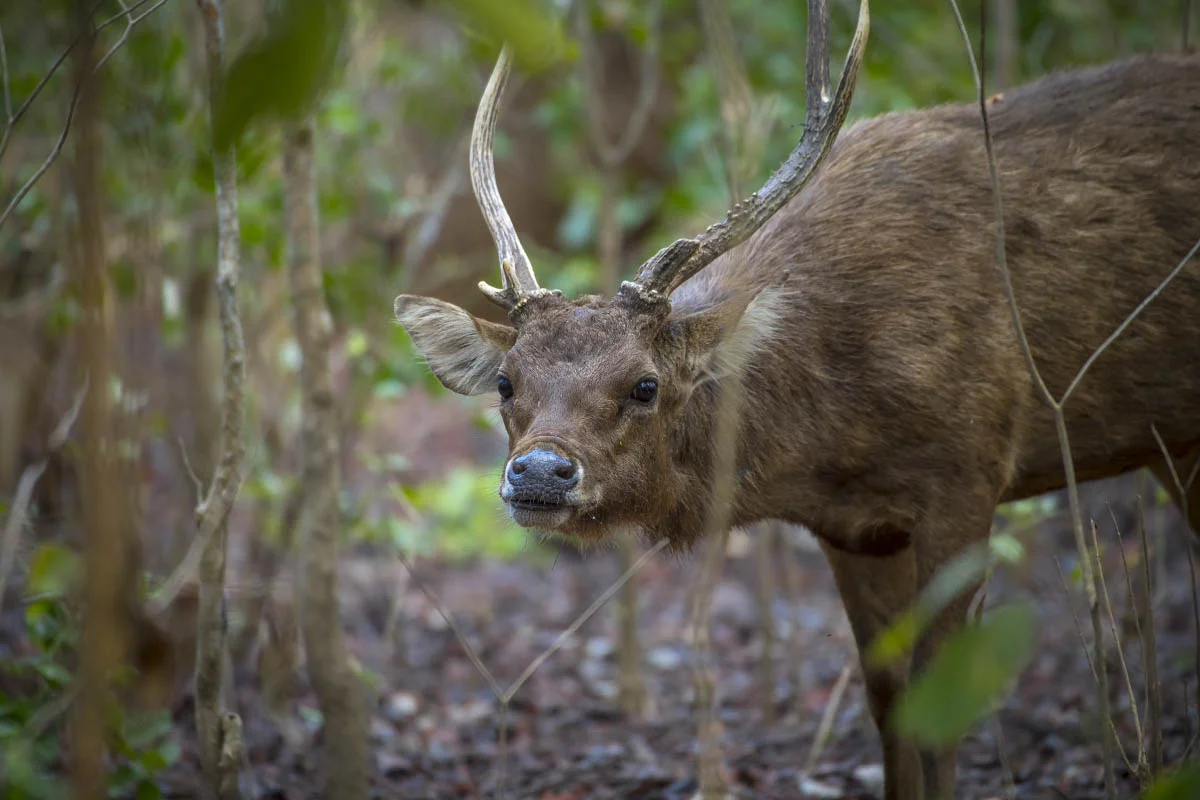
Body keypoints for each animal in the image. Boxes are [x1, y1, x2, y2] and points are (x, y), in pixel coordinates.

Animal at [392, 0, 1200, 796]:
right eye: (506, 381)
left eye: (645, 384)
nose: (539, 472)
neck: (827, 437)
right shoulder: (856, 527)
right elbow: (890, 703)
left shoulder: (970, 473)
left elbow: (940, 711)